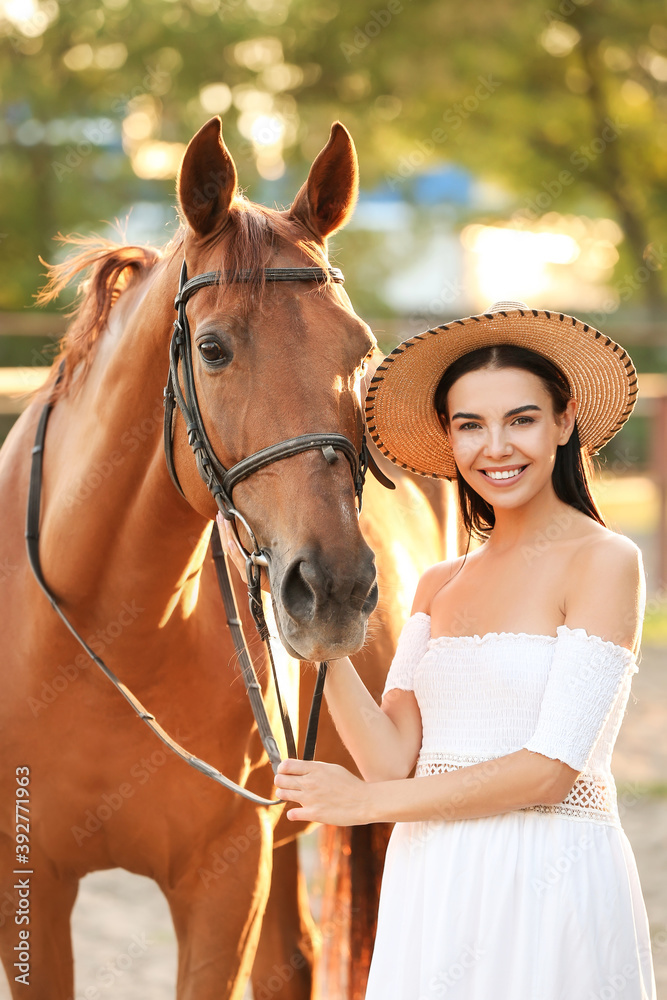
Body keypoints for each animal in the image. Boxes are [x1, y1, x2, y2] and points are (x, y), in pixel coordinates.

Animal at [1, 119, 448, 1000]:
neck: (110, 627)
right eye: (211, 348)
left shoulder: (222, 881)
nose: (335, 587)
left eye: (360, 348)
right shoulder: (26, 885)